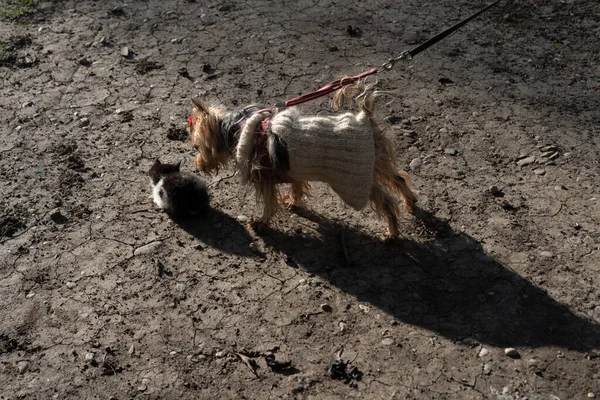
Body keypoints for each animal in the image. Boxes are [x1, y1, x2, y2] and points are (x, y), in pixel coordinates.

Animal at [188, 79, 418, 239]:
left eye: (197, 146)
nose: (197, 165)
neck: (239, 128)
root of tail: (365, 116)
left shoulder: (264, 179)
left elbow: (269, 203)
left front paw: (261, 223)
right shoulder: (293, 169)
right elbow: (296, 186)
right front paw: (292, 201)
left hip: (357, 177)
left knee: (386, 201)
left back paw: (391, 232)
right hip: (376, 161)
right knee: (398, 178)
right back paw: (410, 202)